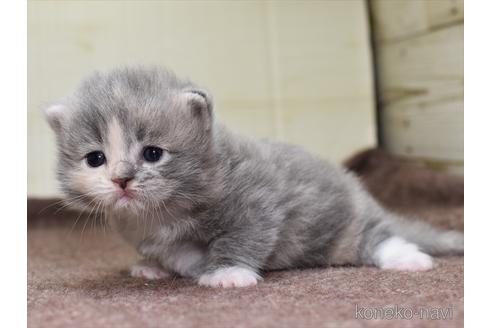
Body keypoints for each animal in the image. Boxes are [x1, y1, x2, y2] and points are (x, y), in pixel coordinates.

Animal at [44, 66, 464, 288]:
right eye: (95, 159)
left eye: (152, 153)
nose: (121, 180)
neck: (162, 211)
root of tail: (362, 196)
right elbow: (169, 250)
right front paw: (162, 264)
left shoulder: (256, 200)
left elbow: (241, 236)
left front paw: (226, 272)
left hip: (343, 227)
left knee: (376, 237)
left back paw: (407, 257)